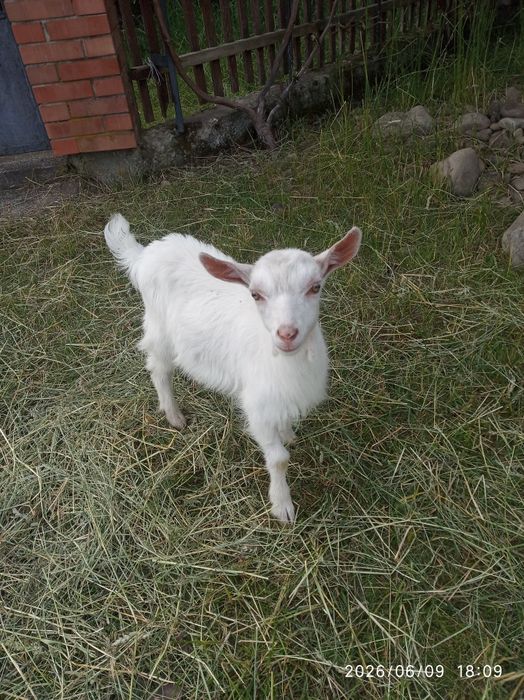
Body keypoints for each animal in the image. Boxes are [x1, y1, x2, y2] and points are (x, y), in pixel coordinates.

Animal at [104, 214, 362, 522]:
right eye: (255, 294)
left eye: (315, 287)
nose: (287, 333)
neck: (284, 360)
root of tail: (144, 255)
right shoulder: (257, 406)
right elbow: (279, 459)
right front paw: (282, 506)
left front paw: (289, 434)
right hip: (160, 329)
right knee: (158, 368)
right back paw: (174, 415)